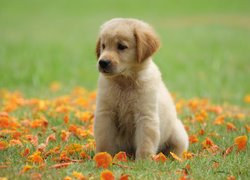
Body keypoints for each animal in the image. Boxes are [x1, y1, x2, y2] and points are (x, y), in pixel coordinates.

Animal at [94, 18, 188, 159]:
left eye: (121, 46)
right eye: (103, 46)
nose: (102, 62)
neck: (125, 82)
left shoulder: (145, 116)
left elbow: (145, 142)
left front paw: (143, 161)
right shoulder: (105, 113)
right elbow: (104, 139)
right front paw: (104, 156)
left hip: (178, 134)